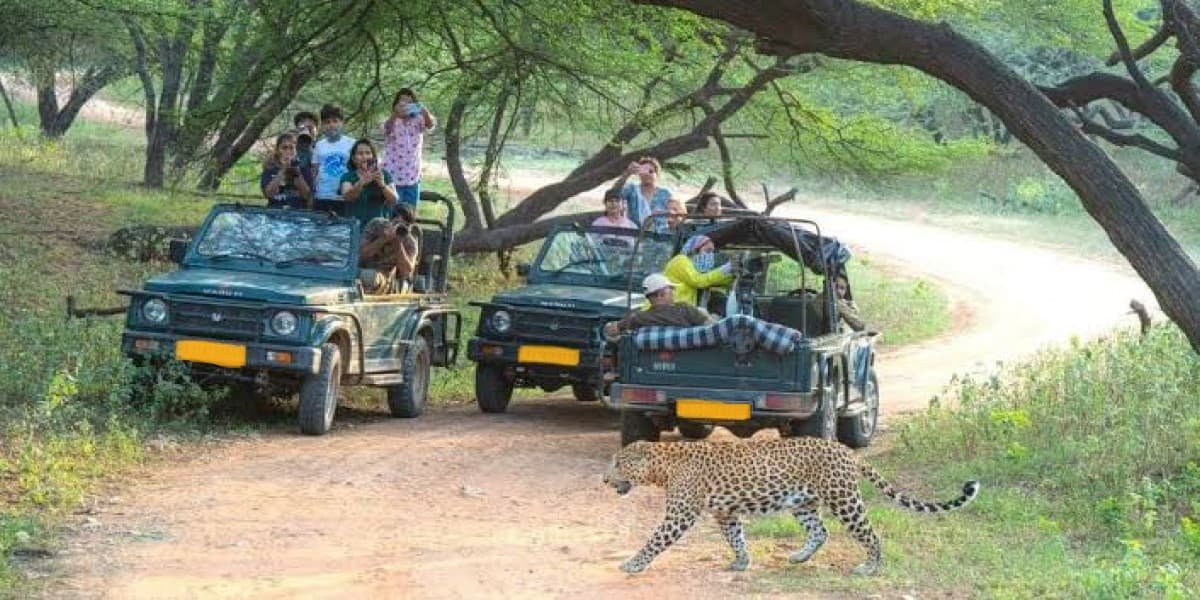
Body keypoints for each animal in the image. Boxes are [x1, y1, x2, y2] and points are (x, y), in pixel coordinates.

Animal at [602, 437, 980, 575]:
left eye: (619, 463)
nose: (605, 480)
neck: (663, 467)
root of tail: (847, 451)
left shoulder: (680, 514)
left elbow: (654, 540)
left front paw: (633, 564)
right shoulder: (726, 513)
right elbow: (736, 538)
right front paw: (742, 562)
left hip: (844, 499)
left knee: (871, 535)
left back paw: (869, 567)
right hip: (804, 503)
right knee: (821, 531)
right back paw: (799, 556)